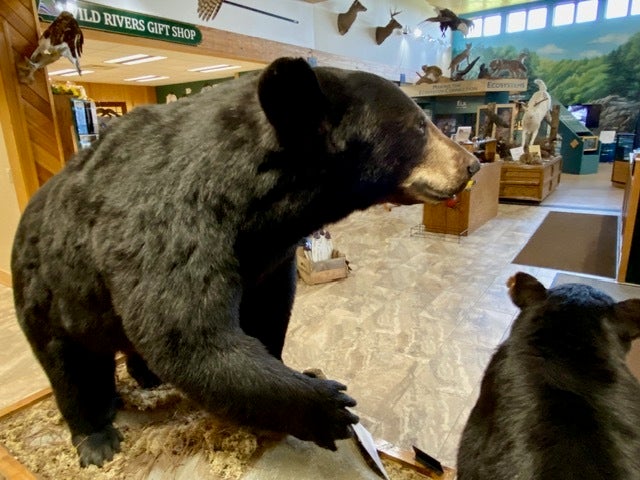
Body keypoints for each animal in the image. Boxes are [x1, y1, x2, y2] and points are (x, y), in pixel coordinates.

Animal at [11, 57, 480, 467]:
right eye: (419, 125)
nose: (471, 163)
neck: (253, 203)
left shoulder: (266, 253)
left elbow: (267, 309)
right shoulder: (174, 226)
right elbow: (189, 336)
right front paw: (329, 405)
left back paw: (145, 375)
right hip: (52, 294)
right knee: (72, 367)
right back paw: (96, 438)